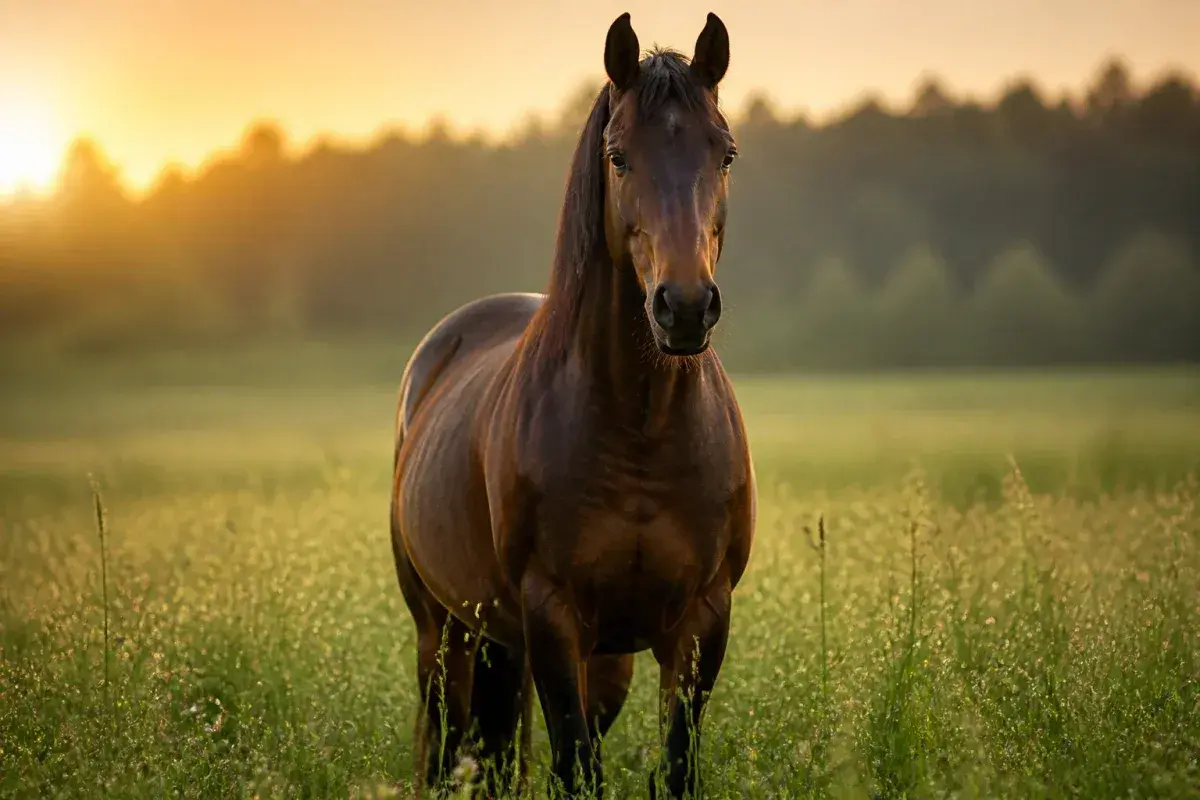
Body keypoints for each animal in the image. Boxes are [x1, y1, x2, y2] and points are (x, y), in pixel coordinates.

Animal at [390, 11, 755, 798]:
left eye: (727, 153)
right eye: (619, 157)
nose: (684, 307)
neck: (641, 428)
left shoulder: (700, 621)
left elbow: (674, 766)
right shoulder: (552, 618)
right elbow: (575, 765)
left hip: (568, 653)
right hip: (445, 631)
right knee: (449, 748)